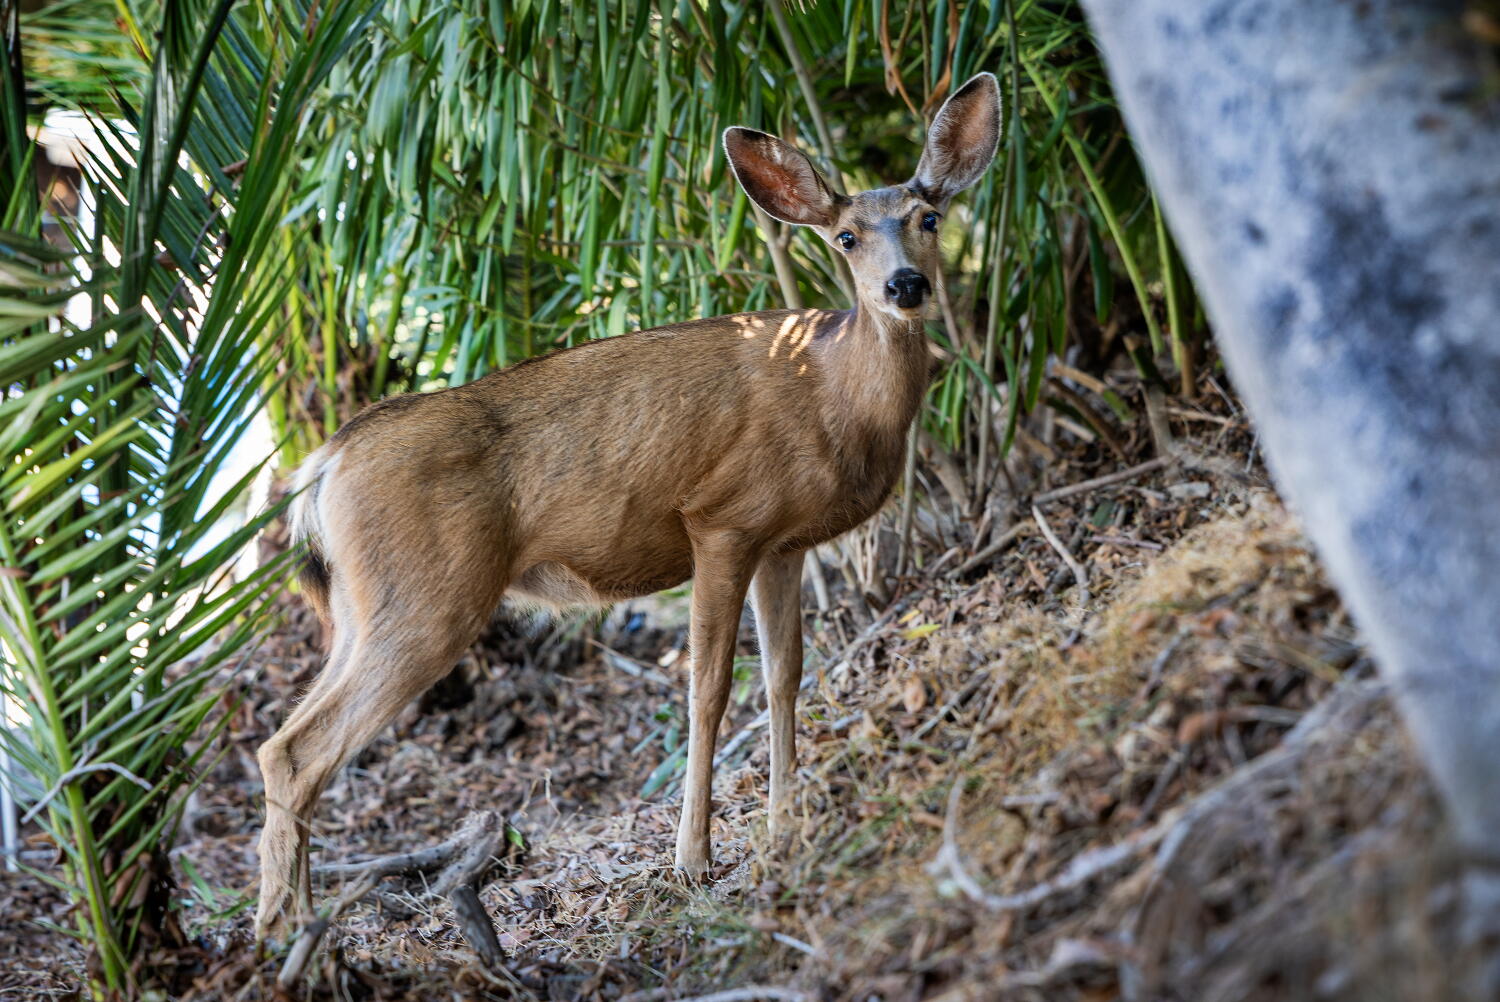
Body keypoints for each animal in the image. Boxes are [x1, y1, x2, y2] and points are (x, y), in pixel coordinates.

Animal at [254, 71, 1001, 940]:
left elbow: (785, 676)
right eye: (847, 236)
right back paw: (284, 933)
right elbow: (708, 688)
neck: (832, 391)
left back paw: (292, 926)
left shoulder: (783, 543)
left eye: (929, 217)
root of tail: (324, 467)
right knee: (299, 750)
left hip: (362, 603)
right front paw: (694, 862)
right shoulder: (722, 518)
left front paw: (785, 831)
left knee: (283, 743)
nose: (904, 285)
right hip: (428, 594)